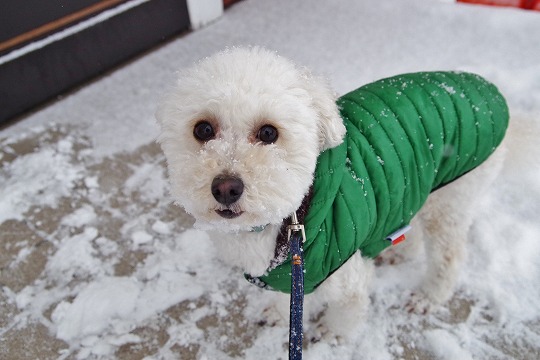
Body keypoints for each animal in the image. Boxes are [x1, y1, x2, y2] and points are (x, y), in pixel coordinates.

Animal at [155, 47, 506, 340]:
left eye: (268, 132)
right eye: (203, 129)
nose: (226, 188)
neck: (295, 215)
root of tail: (489, 91)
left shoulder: (346, 276)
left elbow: (349, 309)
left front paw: (334, 334)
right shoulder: (288, 274)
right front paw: (280, 313)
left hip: (451, 197)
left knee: (449, 254)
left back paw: (429, 297)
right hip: (417, 185)